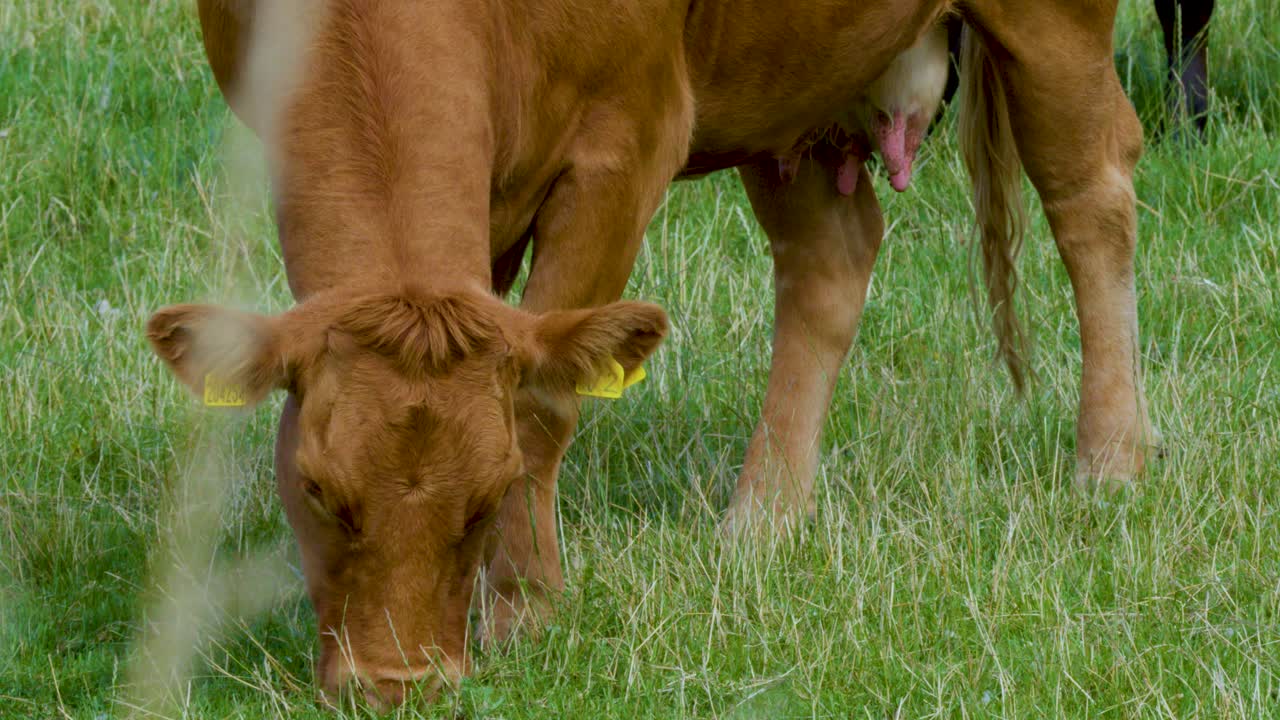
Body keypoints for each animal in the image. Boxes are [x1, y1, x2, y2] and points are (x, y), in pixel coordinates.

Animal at [152, 0, 1157, 707]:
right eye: (316, 490)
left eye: (490, 493)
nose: (399, 686)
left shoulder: (623, 145)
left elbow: (542, 399)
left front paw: (526, 606)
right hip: (784, 78)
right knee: (831, 257)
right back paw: (762, 519)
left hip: (1051, 21)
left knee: (1091, 188)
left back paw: (1111, 458)